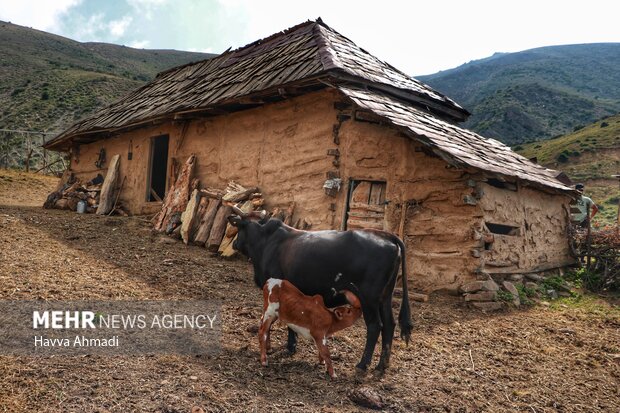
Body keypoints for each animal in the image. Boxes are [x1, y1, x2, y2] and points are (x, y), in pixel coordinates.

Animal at [228, 208, 412, 372]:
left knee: (375, 326)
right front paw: (288, 347)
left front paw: (287, 347)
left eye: (238, 228)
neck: (266, 241)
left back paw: (362, 365)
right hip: (384, 297)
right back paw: (381, 366)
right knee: (389, 324)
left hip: (369, 299)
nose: (235, 243)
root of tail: (386, 236)